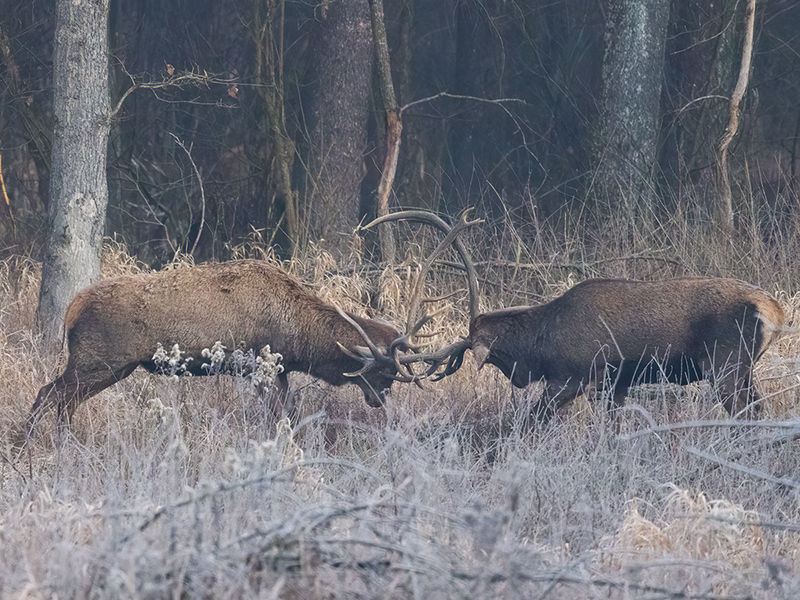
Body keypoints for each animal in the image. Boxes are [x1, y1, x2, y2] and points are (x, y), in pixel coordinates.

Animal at [29, 258, 432, 426]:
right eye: (383, 372)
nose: (380, 400)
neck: (299, 335)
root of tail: (72, 307)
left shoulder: (278, 370)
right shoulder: (259, 365)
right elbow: (278, 415)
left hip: (113, 367)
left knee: (63, 400)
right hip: (96, 361)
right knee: (48, 394)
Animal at [362, 211, 788, 422]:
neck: (540, 342)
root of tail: (775, 312)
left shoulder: (574, 378)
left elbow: (530, 421)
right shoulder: (616, 384)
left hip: (725, 366)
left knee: (749, 415)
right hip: (741, 369)